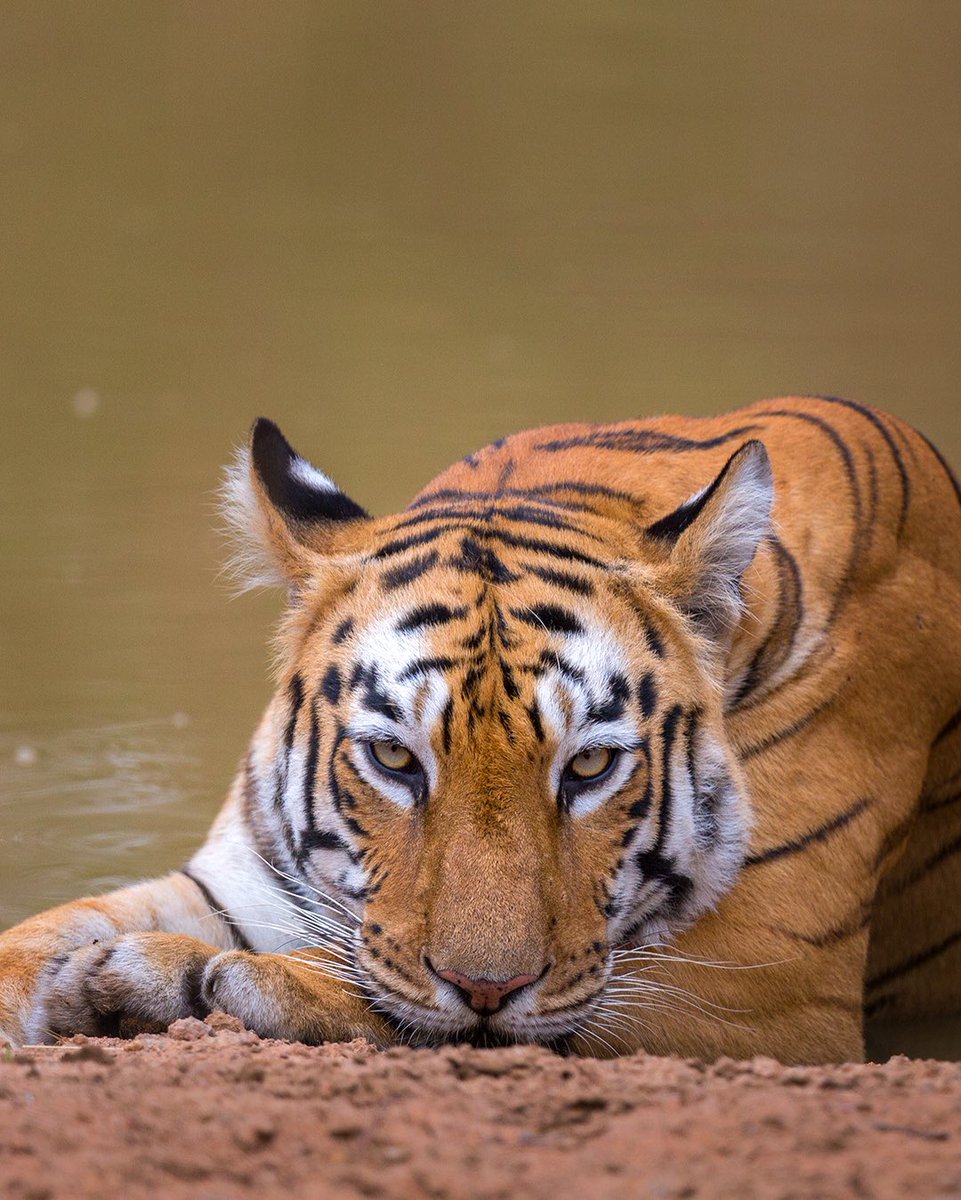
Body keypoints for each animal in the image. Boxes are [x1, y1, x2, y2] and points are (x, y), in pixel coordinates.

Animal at [2, 395, 960, 1065]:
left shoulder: (759, 991)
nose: (487, 989)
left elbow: (381, 990)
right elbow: (49, 926)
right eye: (394, 757)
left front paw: (170, 977)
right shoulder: (244, 877)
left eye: (589, 768)